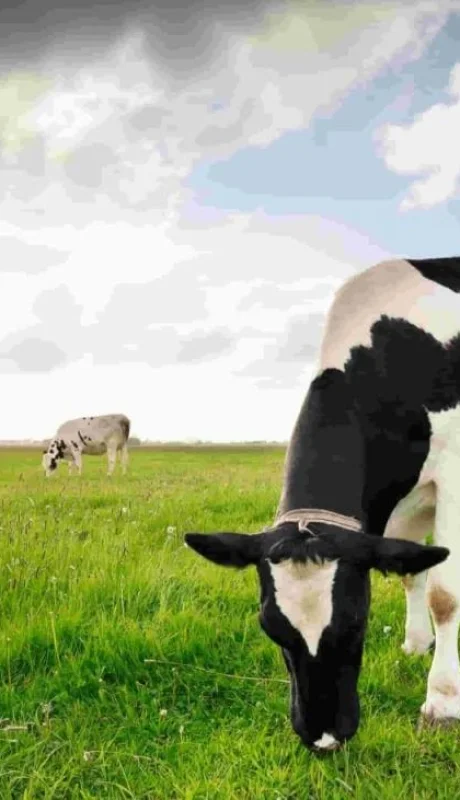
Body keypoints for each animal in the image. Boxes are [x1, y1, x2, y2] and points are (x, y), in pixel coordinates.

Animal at [185, 257, 460, 753]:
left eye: (356, 622)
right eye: (270, 626)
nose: (325, 739)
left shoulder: (452, 472)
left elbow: (444, 594)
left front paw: (442, 705)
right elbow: (413, 570)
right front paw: (415, 645)